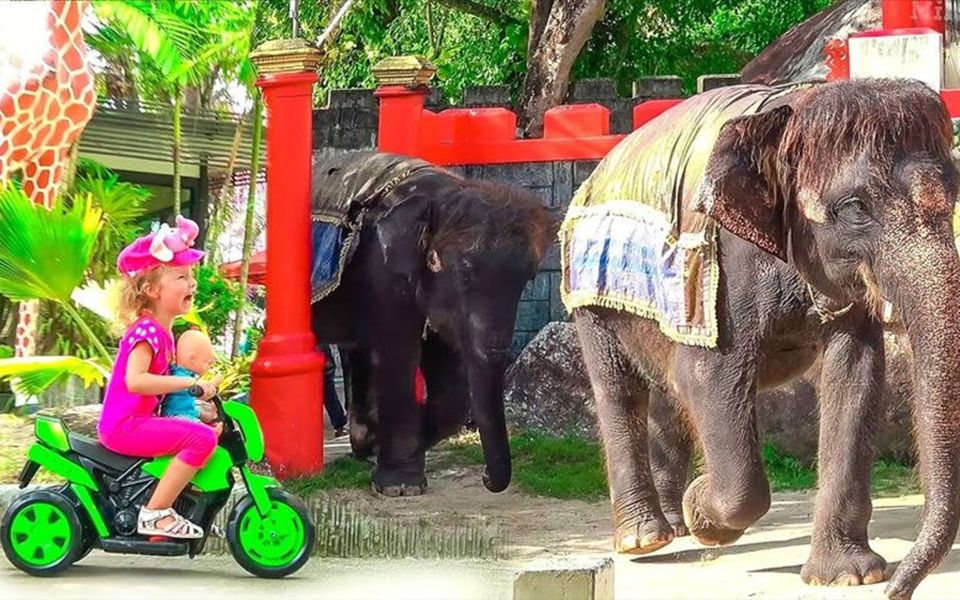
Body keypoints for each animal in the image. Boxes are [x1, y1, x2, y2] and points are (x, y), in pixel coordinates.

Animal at [312, 151, 552, 496]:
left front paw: (386, 450)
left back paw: (364, 444)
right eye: (463, 276)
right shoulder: (383, 270)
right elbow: (398, 353)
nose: (484, 476)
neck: (446, 192)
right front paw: (400, 487)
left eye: (528, 280)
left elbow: (451, 386)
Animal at [564, 79, 960, 600]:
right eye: (856, 208)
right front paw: (704, 512)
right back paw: (646, 538)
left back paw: (674, 525)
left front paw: (848, 576)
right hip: (589, 294)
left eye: (954, 196)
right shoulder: (726, 270)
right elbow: (709, 375)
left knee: (669, 391)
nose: (896, 591)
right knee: (621, 390)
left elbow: (855, 376)